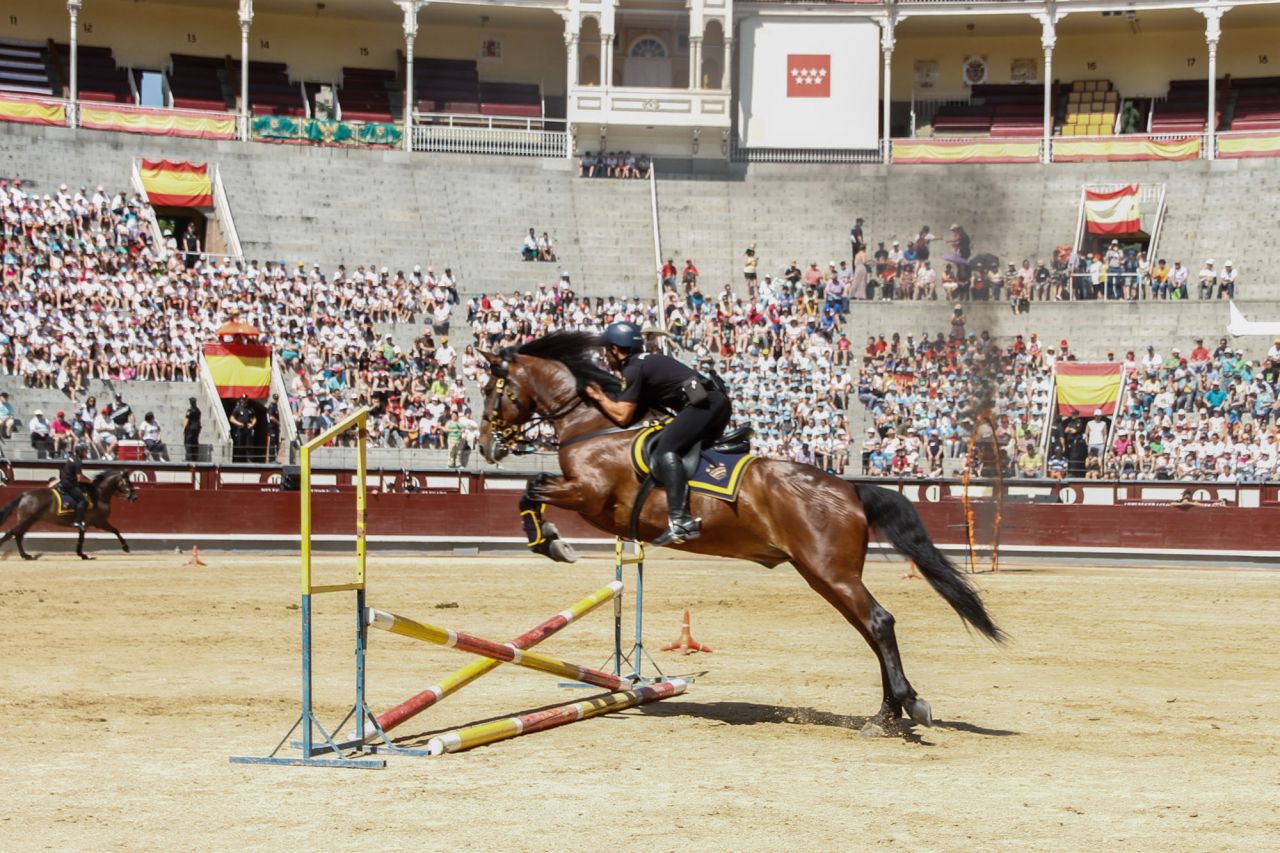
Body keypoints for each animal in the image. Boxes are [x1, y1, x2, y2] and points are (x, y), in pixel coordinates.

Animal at [0, 469, 139, 560]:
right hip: (27, 519)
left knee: (18, 535)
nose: (134, 497)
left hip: (29, 521)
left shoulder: (85, 524)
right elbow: (116, 530)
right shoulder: (100, 522)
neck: (98, 495)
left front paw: (82, 554)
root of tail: (25, 494)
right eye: (128, 482)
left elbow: (81, 538)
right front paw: (126, 547)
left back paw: (26, 555)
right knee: (12, 533)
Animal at [479, 332, 1005, 729]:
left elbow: (530, 491)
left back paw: (904, 707)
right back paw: (888, 712)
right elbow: (531, 491)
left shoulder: (588, 494)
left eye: (491, 391)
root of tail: (850, 489)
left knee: (879, 623)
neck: (594, 427)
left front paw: (552, 543)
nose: (484, 446)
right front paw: (550, 540)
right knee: (871, 629)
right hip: (824, 576)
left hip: (831, 573)